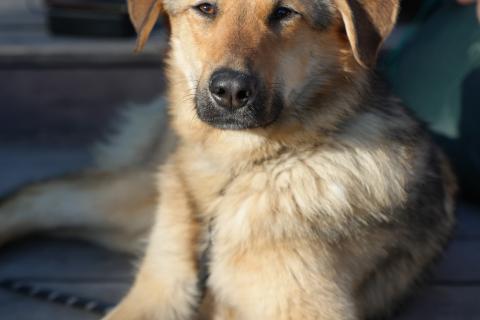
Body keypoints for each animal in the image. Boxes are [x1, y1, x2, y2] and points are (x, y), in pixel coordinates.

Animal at [0, 0, 458, 320]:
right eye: (206, 8)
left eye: (284, 13)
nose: (231, 92)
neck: (241, 172)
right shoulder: (159, 292)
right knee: (39, 196)